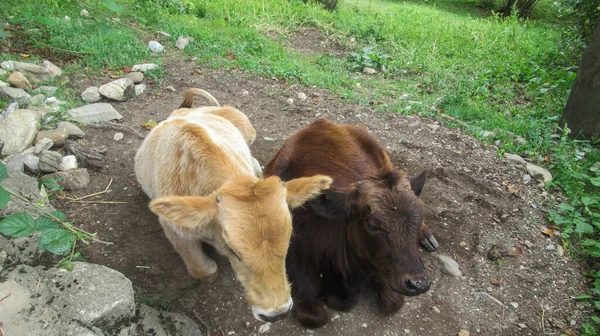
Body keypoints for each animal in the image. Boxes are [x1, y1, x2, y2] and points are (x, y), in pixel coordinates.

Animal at [135, 88, 332, 322]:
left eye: (288, 241)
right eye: (233, 250)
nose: (276, 314)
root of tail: (182, 111)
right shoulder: (175, 231)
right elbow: (204, 271)